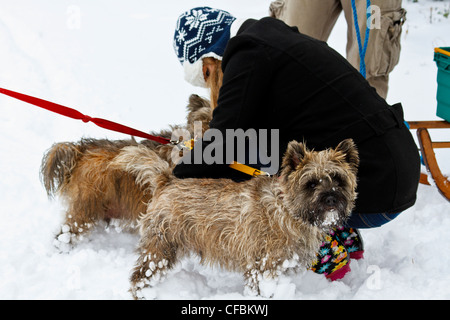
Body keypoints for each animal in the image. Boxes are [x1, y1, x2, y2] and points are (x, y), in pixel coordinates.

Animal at [112, 139, 358, 298]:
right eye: (311, 183)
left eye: (338, 179)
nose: (331, 198)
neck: (287, 209)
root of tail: (166, 181)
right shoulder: (263, 267)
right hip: (162, 247)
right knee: (142, 276)